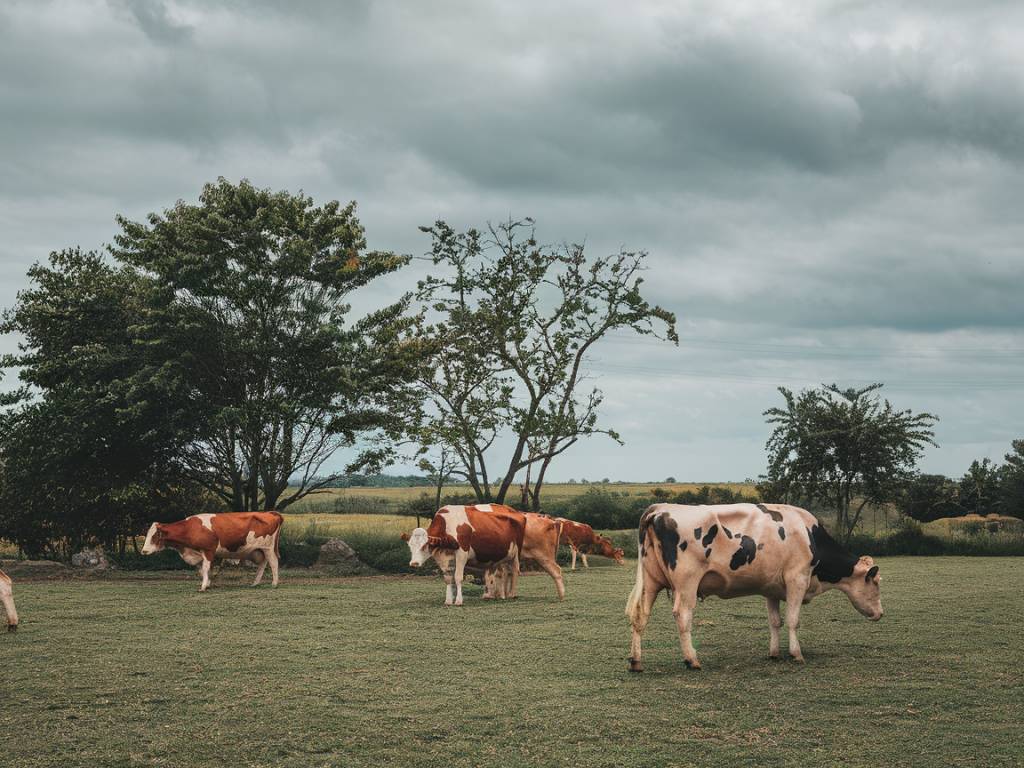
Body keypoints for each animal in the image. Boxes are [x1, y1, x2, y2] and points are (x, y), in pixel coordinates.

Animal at [141, 514, 284, 593]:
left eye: (154, 536)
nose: (143, 551)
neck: (190, 529)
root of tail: (271, 513)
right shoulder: (199, 555)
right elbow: (203, 570)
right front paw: (208, 583)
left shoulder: (208, 551)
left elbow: (205, 569)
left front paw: (203, 587)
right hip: (259, 550)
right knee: (263, 564)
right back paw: (255, 583)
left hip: (268, 548)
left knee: (273, 563)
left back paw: (274, 583)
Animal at [622, 501, 880, 671]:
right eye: (876, 583)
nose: (880, 614)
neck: (809, 534)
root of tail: (660, 508)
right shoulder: (797, 579)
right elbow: (793, 620)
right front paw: (796, 654)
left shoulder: (772, 588)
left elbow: (775, 621)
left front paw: (774, 653)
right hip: (687, 584)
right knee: (683, 616)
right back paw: (692, 660)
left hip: (651, 582)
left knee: (640, 615)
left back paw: (636, 661)